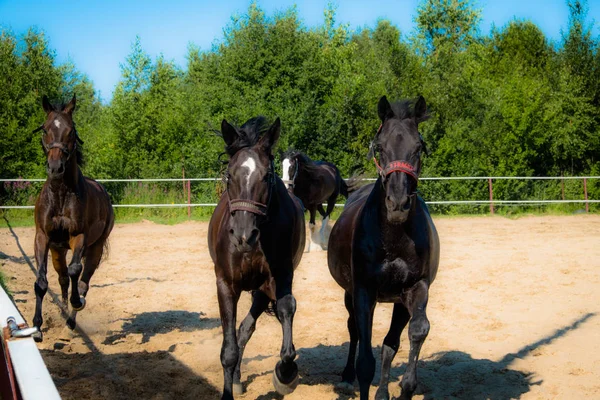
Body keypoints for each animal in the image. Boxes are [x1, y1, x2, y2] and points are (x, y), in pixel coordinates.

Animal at [31, 94, 114, 340]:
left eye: (71, 131)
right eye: (45, 129)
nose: (55, 167)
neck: (60, 195)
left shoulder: (79, 237)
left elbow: (76, 271)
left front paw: (77, 303)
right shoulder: (42, 237)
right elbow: (41, 282)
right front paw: (36, 328)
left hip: (95, 248)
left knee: (83, 281)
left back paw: (72, 317)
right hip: (57, 250)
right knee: (62, 279)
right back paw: (64, 311)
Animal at [210, 117, 304, 398]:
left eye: (266, 176)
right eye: (229, 175)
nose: (243, 235)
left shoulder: (278, 278)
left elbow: (287, 308)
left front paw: (285, 373)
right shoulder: (226, 285)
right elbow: (228, 349)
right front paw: (227, 390)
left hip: (261, 292)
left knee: (246, 329)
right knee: (240, 332)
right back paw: (237, 379)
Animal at [328, 97, 440, 400]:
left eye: (418, 147)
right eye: (379, 147)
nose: (398, 204)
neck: (393, 238)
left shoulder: (415, 288)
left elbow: (416, 332)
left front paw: (406, 387)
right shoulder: (364, 292)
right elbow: (365, 360)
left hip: (397, 302)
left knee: (391, 343)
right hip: (350, 293)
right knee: (353, 331)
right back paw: (346, 377)